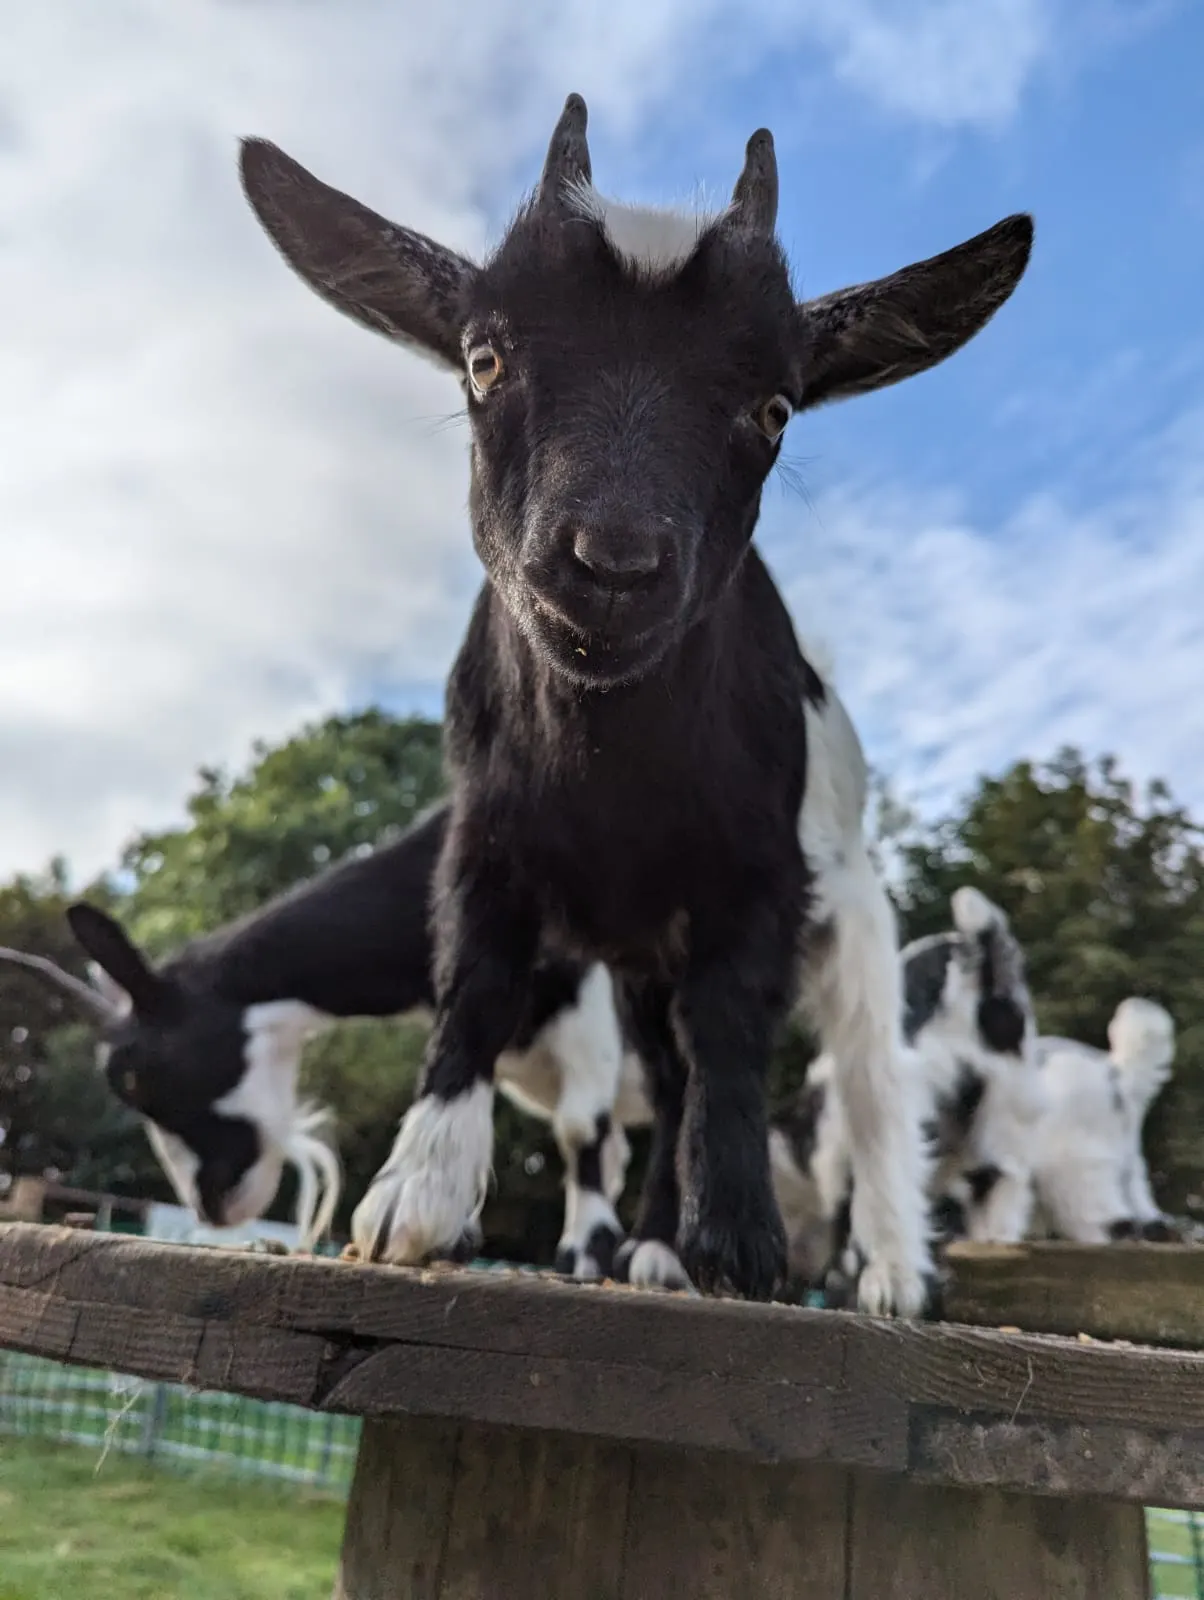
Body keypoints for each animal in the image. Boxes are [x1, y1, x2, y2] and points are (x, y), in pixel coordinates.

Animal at [0, 803, 634, 1274]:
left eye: (138, 1076)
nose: (211, 1206)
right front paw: (454, 1232)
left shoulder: (586, 988)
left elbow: (580, 1128)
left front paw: (584, 1255)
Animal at [239, 94, 1031, 1309]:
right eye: (483, 357)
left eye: (776, 407)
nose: (612, 562)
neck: (614, 770)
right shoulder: (487, 837)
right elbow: (475, 984)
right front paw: (415, 1197)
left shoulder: (760, 874)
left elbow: (732, 1035)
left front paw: (741, 1240)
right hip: (643, 964)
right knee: (662, 1072)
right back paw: (656, 1243)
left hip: (852, 915)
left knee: (861, 1081)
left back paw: (893, 1267)